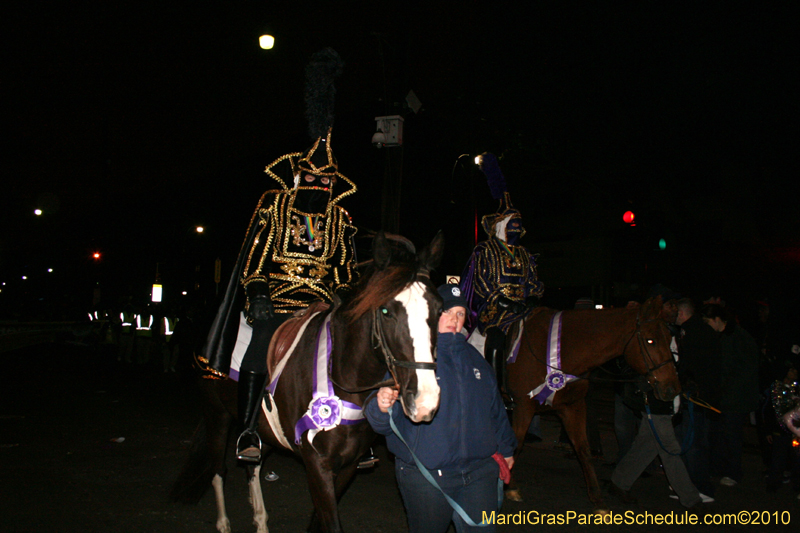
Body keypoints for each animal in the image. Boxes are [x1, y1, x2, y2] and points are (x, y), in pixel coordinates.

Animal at [171, 233, 444, 532]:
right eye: (385, 311)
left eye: (439, 309)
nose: (425, 401)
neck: (342, 377)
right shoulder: (317, 463)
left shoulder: (348, 465)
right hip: (216, 414)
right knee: (218, 469)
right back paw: (223, 523)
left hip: (263, 430)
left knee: (253, 466)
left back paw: (260, 519)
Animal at [504, 296, 680, 512]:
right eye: (650, 340)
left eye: (669, 338)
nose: (672, 388)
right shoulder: (523, 406)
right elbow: (517, 445)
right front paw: (510, 487)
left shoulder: (572, 406)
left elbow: (583, 448)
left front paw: (597, 498)